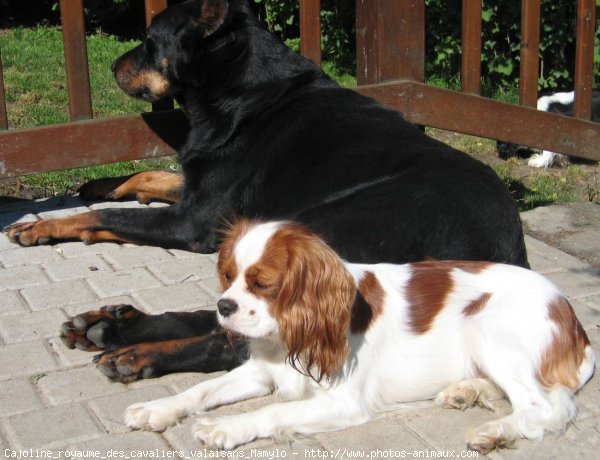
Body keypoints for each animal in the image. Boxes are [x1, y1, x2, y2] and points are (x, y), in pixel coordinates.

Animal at [7, 0, 528, 380]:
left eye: (151, 41)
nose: (113, 65)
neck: (238, 88)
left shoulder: (194, 221)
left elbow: (105, 217)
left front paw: (41, 225)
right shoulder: (200, 193)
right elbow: (151, 178)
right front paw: (99, 184)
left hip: (322, 233)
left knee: (236, 340)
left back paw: (138, 352)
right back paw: (111, 326)